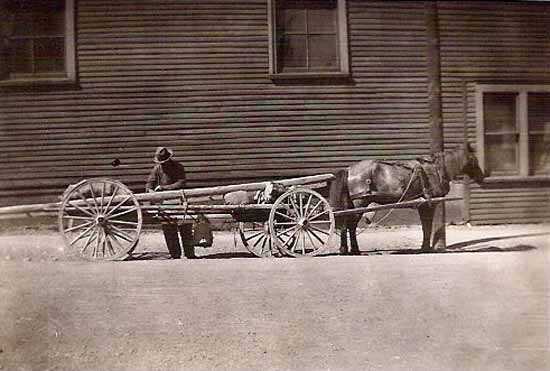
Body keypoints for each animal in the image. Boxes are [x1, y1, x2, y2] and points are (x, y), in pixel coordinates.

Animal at [330, 144, 486, 254]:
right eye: (473, 159)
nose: (482, 178)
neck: (436, 170)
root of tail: (349, 170)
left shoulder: (423, 205)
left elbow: (425, 227)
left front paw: (425, 246)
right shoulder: (428, 205)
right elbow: (427, 226)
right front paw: (426, 247)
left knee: (347, 225)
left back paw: (346, 249)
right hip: (360, 203)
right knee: (350, 225)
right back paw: (353, 249)